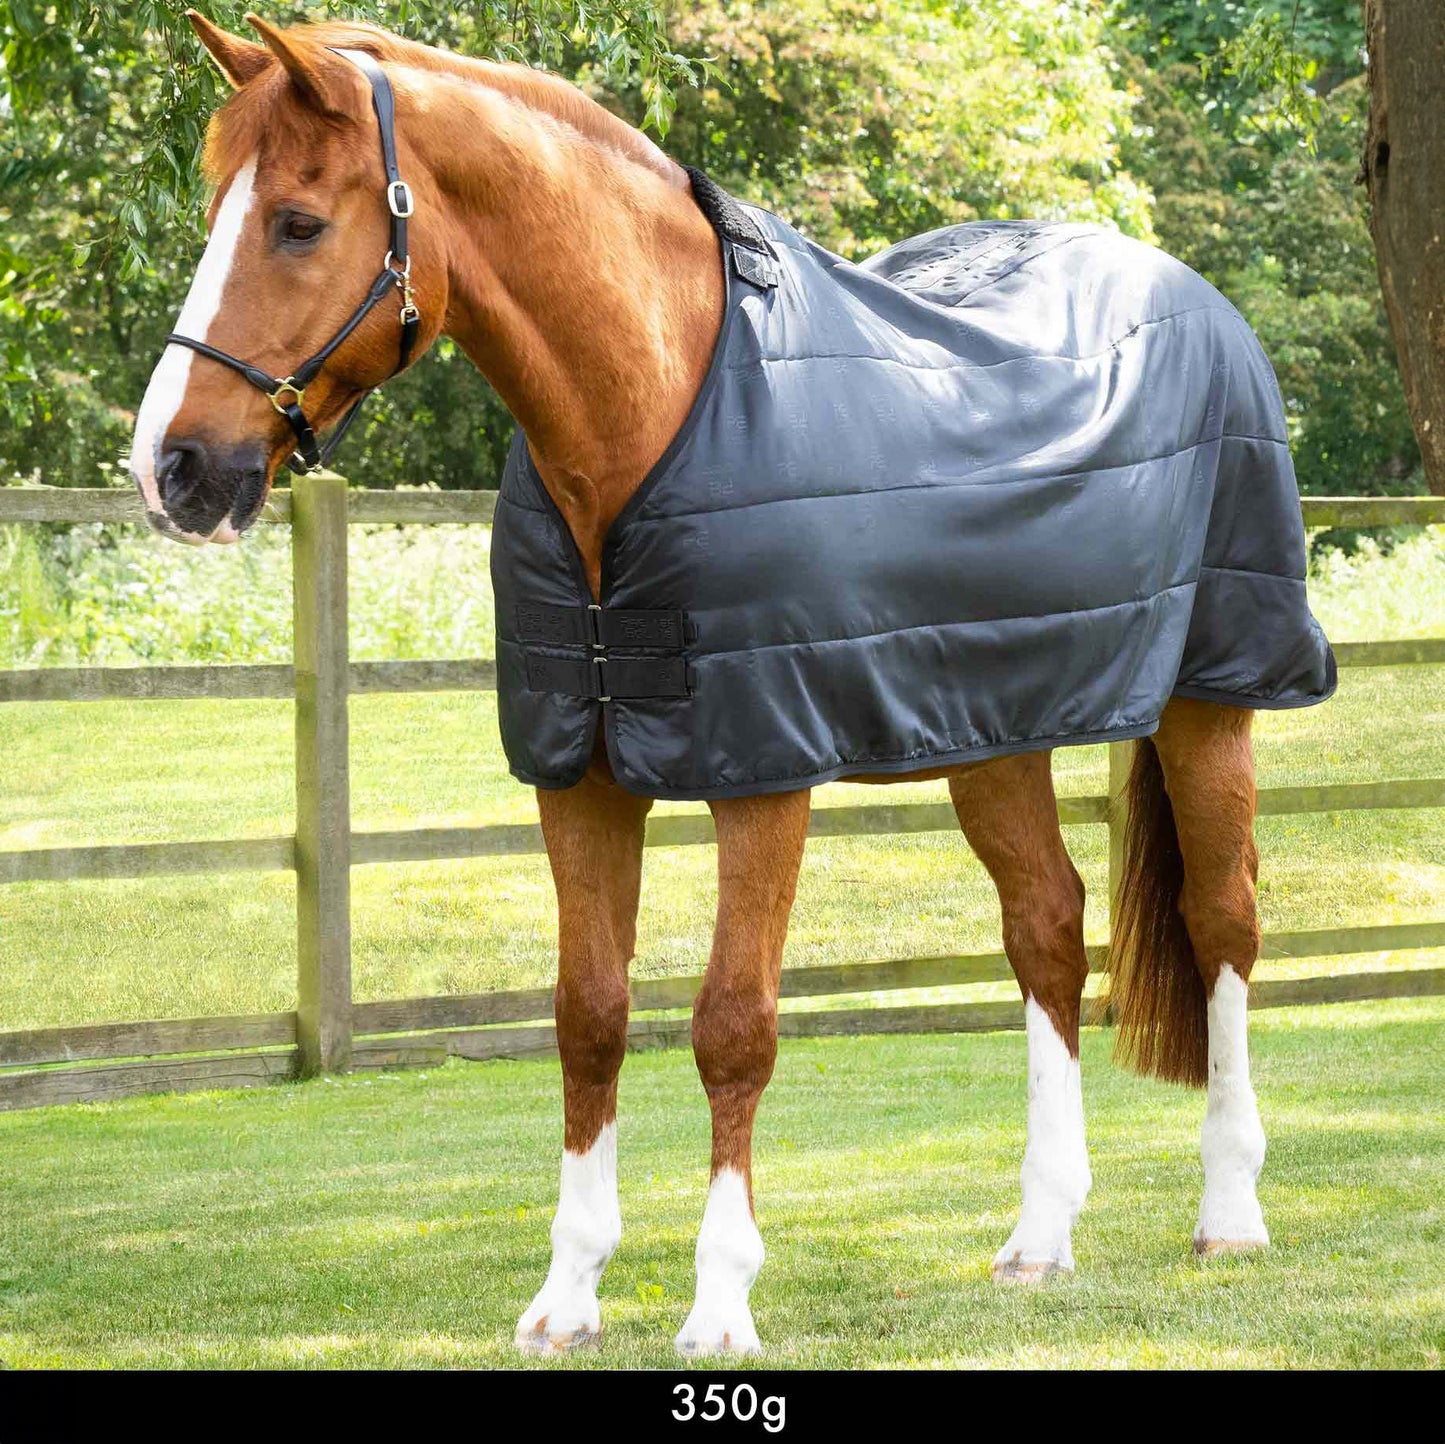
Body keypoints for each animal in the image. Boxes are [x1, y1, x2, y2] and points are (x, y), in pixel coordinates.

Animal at [129, 13, 1334, 1357]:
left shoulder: (763, 770)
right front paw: (567, 1294)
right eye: (215, 209)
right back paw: (1038, 1235)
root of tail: (1195, 300)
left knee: (1222, 921)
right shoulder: (579, 773)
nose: (170, 466)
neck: (653, 411)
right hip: (991, 728)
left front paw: (718, 1302)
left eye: (296, 222)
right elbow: (588, 1014)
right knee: (1046, 928)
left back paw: (1228, 1212)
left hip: (1209, 697)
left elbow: (731, 1025)